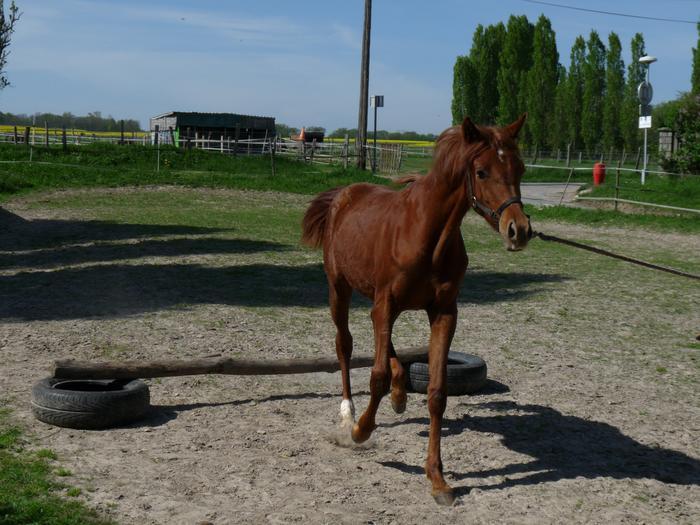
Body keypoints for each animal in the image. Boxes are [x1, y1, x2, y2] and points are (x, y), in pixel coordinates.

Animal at [300, 113, 532, 504]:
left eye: (520, 167)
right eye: (482, 171)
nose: (519, 230)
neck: (427, 234)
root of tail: (344, 195)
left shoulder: (443, 313)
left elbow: (436, 393)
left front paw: (437, 479)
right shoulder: (387, 303)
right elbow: (375, 375)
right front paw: (361, 430)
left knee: (382, 343)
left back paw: (398, 394)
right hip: (339, 290)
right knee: (344, 345)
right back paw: (349, 414)